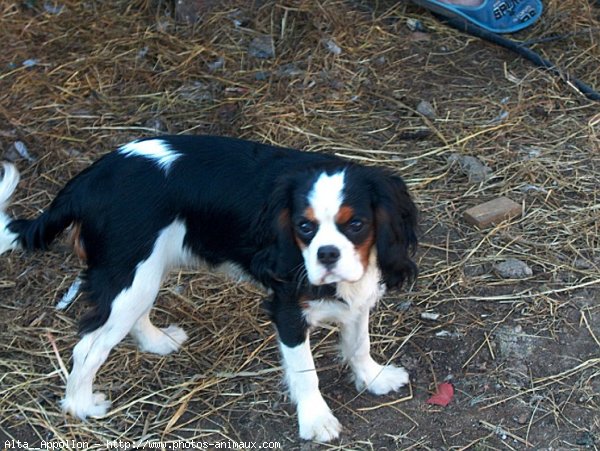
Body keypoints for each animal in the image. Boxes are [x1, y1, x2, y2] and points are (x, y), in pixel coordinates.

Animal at [0, 136, 418, 444]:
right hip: (129, 273)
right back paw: (82, 406)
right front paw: (316, 420)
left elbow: (359, 341)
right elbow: (305, 371)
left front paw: (374, 378)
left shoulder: (359, 288)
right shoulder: (287, 307)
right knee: (88, 347)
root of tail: (86, 181)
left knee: (130, 318)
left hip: (145, 271)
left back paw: (158, 341)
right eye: (304, 227)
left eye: (357, 224)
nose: (327, 254)